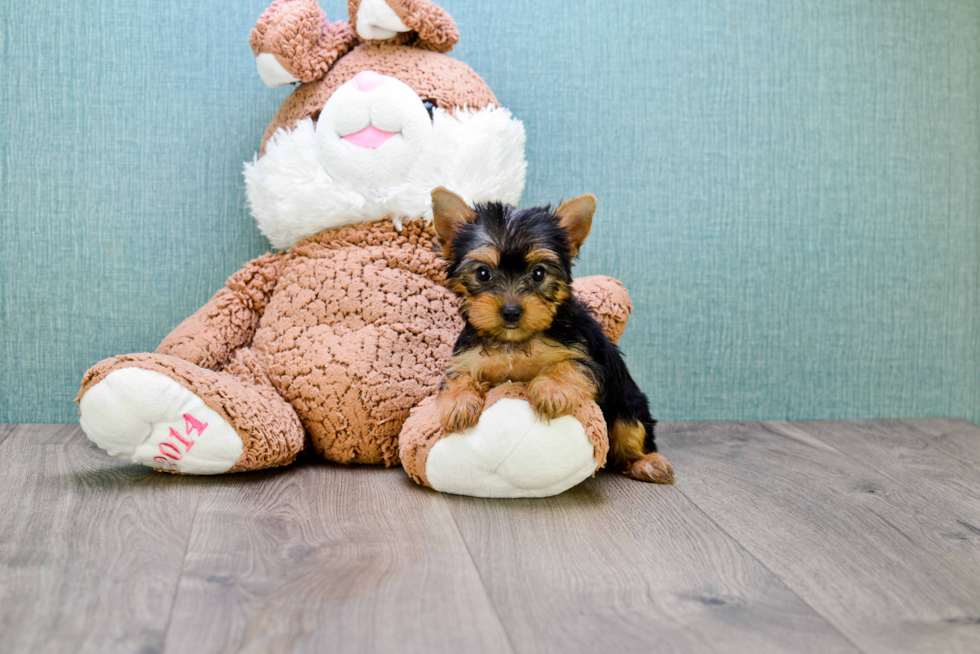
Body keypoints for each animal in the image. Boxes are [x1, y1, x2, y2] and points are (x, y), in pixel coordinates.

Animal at [428, 187, 672, 484]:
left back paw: (646, 463)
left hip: (627, 405)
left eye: (538, 273)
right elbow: (458, 376)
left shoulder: (588, 355)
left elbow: (571, 365)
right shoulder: (468, 356)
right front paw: (458, 403)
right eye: (483, 273)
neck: (515, 342)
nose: (511, 312)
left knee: (629, 433)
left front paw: (551, 390)